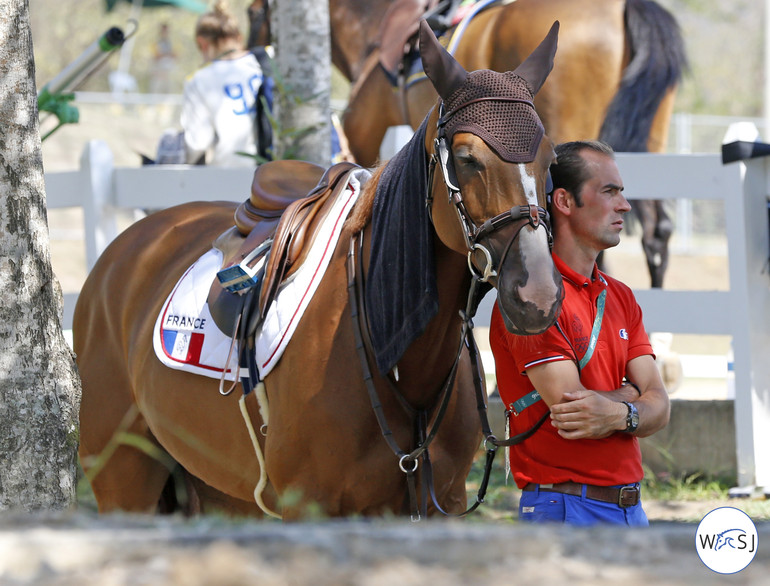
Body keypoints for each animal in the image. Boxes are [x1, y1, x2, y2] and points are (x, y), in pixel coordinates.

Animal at [73, 20, 564, 516]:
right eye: (466, 159)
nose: (538, 296)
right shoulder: (307, 503)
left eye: (550, 159)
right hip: (122, 478)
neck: (395, 356)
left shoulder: (440, 498)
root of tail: (120, 254)